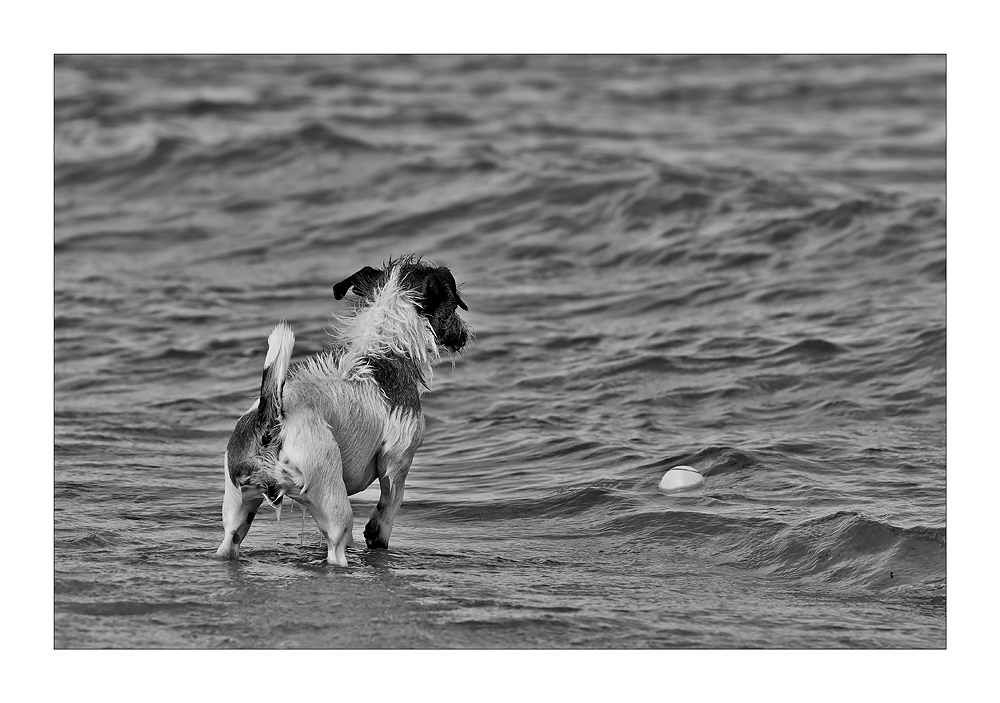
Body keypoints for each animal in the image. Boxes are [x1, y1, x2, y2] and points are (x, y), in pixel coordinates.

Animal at [215, 256, 472, 564]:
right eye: (454, 304)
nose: (464, 334)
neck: (385, 350)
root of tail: (271, 421)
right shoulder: (397, 462)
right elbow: (389, 506)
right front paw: (377, 533)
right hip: (334, 507)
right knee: (337, 550)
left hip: (238, 509)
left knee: (229, 541)